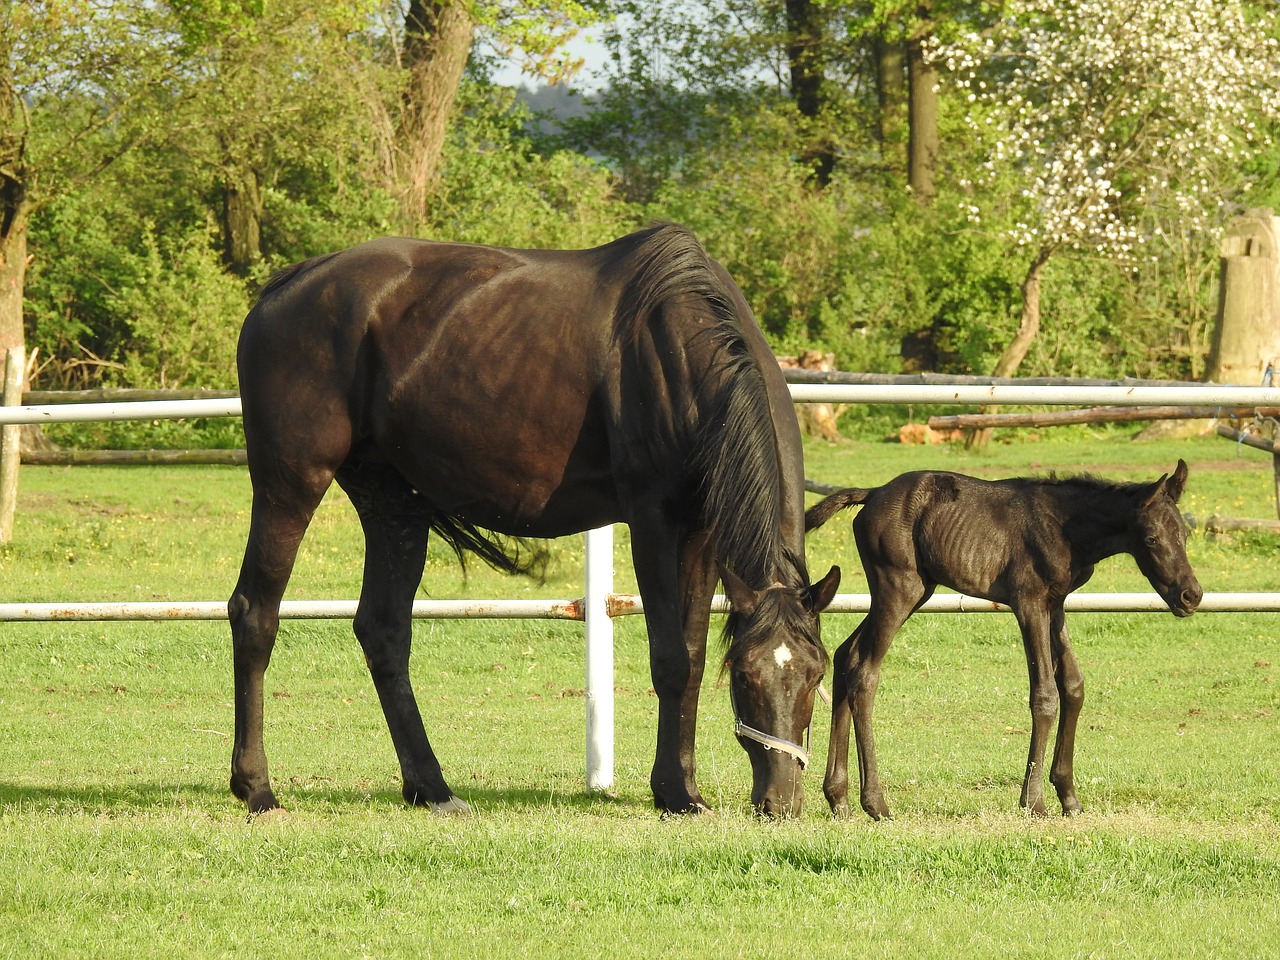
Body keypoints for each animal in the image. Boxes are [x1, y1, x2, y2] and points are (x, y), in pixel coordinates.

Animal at [230, 224, 844, 819]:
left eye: (817, 673)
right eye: (744, 674)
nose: (781, 801)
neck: (679, 346)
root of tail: (288, 285)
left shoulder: (701, 532)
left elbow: (691, 659)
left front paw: (685, 790)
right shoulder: (652, 519)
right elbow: (669, 658)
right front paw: (672, 793)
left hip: (393, 503)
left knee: (383, 630)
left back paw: (432, 788)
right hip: (291, 483)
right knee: (254, 612)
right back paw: (257, 788)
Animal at [808, 463, 1198, 824]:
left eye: (1185, 534)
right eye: (1151, 538)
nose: (1191, 595)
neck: (1067, 528)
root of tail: (873, 493)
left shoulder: (1055, 604)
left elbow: (1073, 686)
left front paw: (1069, 797)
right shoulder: (1028, 603)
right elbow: (1045, 695)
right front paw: (1034, 802)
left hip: (916, 590)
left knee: (846, 654)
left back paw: (838, 798)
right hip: (899, 588)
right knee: (864, 671)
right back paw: (876, 803)